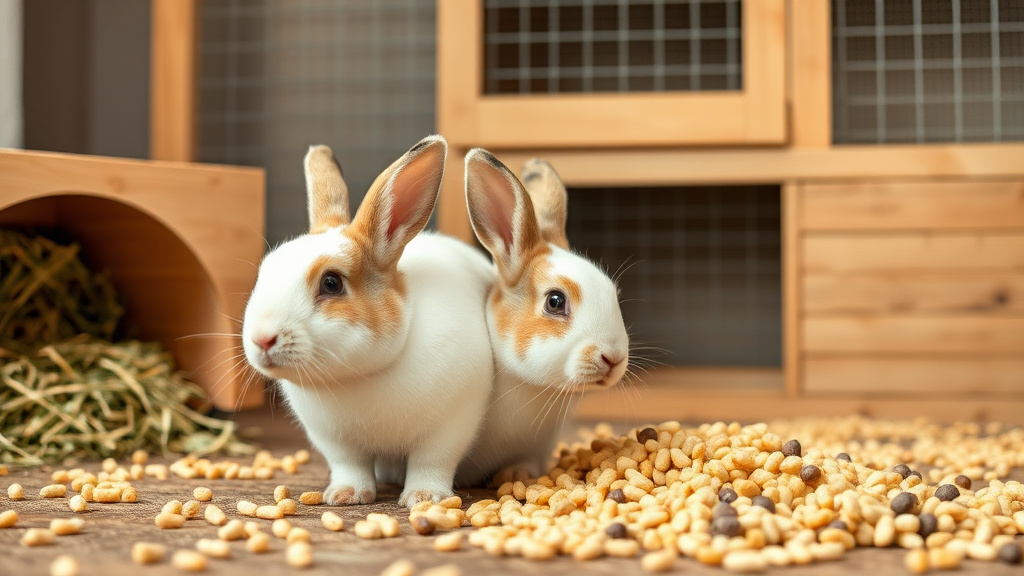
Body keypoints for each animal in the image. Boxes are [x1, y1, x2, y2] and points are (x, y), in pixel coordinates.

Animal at [242, 135, 495, 507]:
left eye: (332, 283)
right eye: (265, 270)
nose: (262, 339)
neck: (361, 376)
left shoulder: (450, 426)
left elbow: (432, 462)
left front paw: (424, 498)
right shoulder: (335, 441)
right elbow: (350, 465)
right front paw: (345, 495)